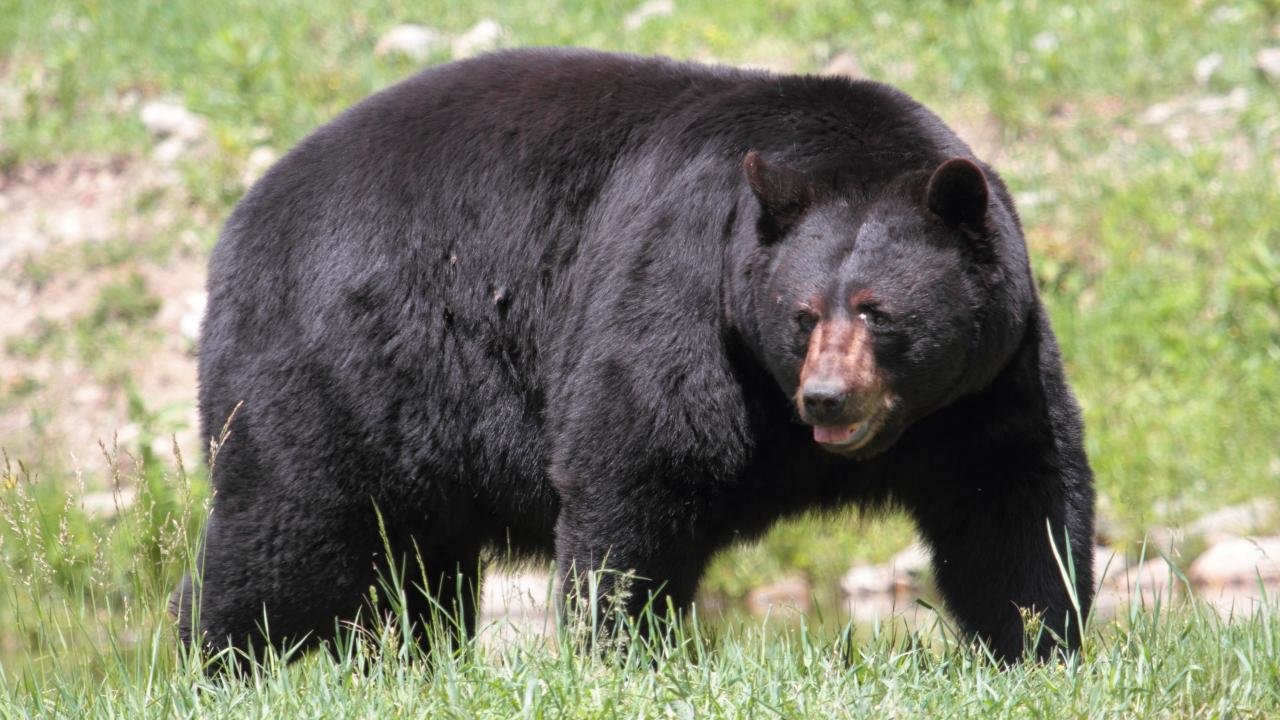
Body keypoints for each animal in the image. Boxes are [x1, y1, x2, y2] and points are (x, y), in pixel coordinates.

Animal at [173, 47, 1095, 664]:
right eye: (802, 315)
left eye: (879, 311)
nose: (828, 398)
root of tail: (240, 219)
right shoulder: (682, 289)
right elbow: (640, 463)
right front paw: (620, 648)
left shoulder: (988, 376)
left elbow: (1014, 495)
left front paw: (1039, 640)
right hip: (337, 361)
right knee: (289, 528)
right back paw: (216, 654)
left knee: (413, 566)